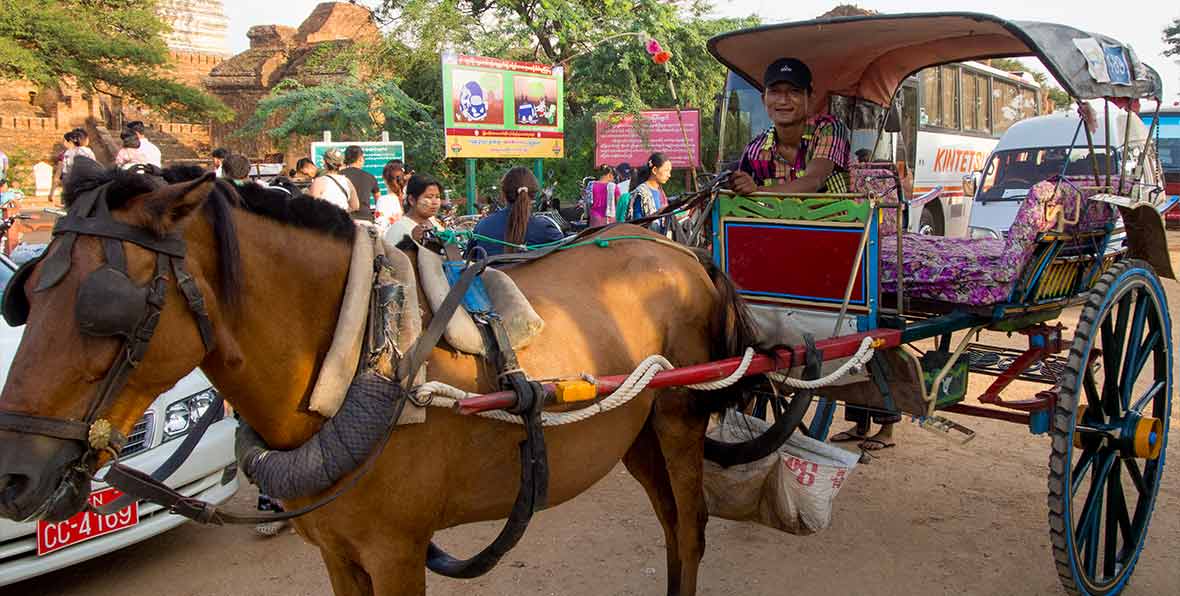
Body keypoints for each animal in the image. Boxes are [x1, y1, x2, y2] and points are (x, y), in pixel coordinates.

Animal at [0, 167, 755, 594]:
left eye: (106, 309)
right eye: (26, 294)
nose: (13, 475)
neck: (357, 346)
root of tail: (681, 250)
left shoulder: (396, 554)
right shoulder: (339, 554)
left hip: (679, 419)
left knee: (690, 530)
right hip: (636, 431)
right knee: (671, 526)